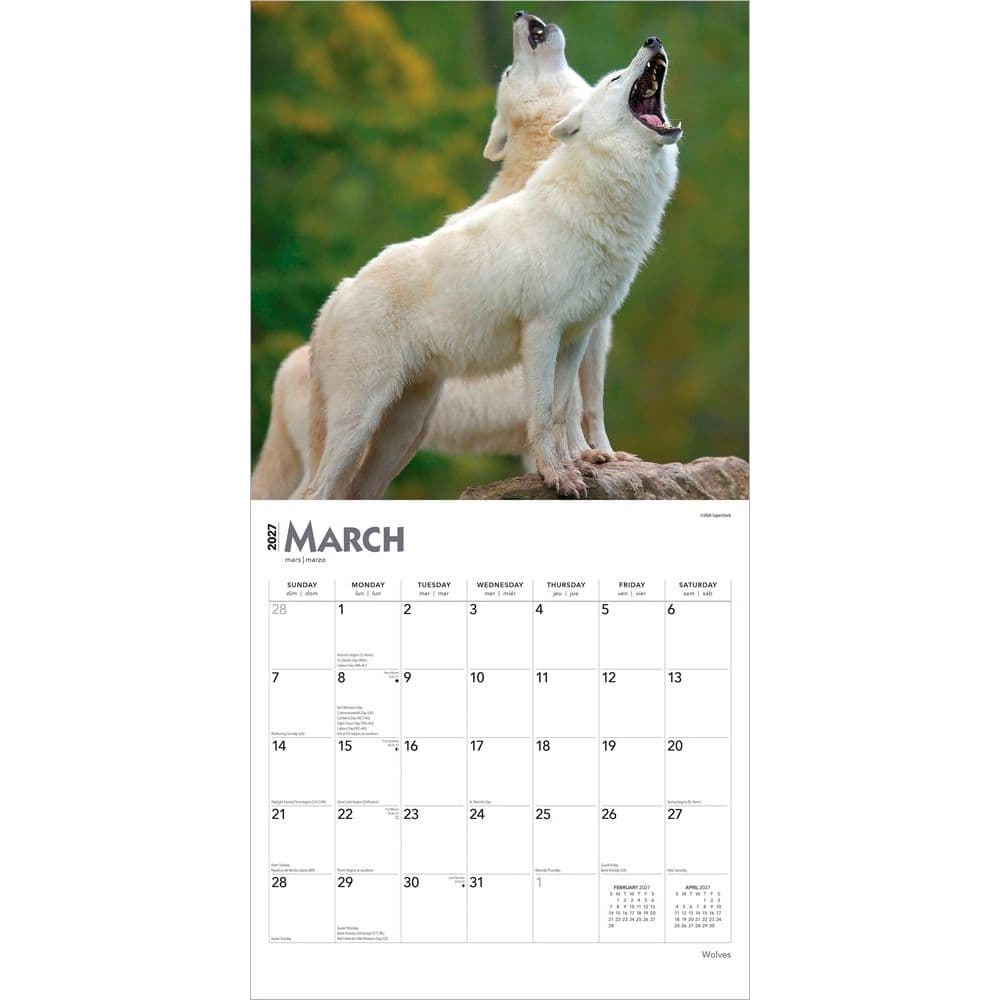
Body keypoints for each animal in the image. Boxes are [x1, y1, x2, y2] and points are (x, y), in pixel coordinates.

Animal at [303, 37, 682, 500]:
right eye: (615, 79)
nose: (653, 40)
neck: (594, 201)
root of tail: (335, 297)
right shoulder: (541, 333)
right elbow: (544, 412)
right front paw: (557, 477)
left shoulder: (576, 336)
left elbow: (564, 408)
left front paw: (578, 466)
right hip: (359, 424)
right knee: (315, 492)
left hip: (404, 432)